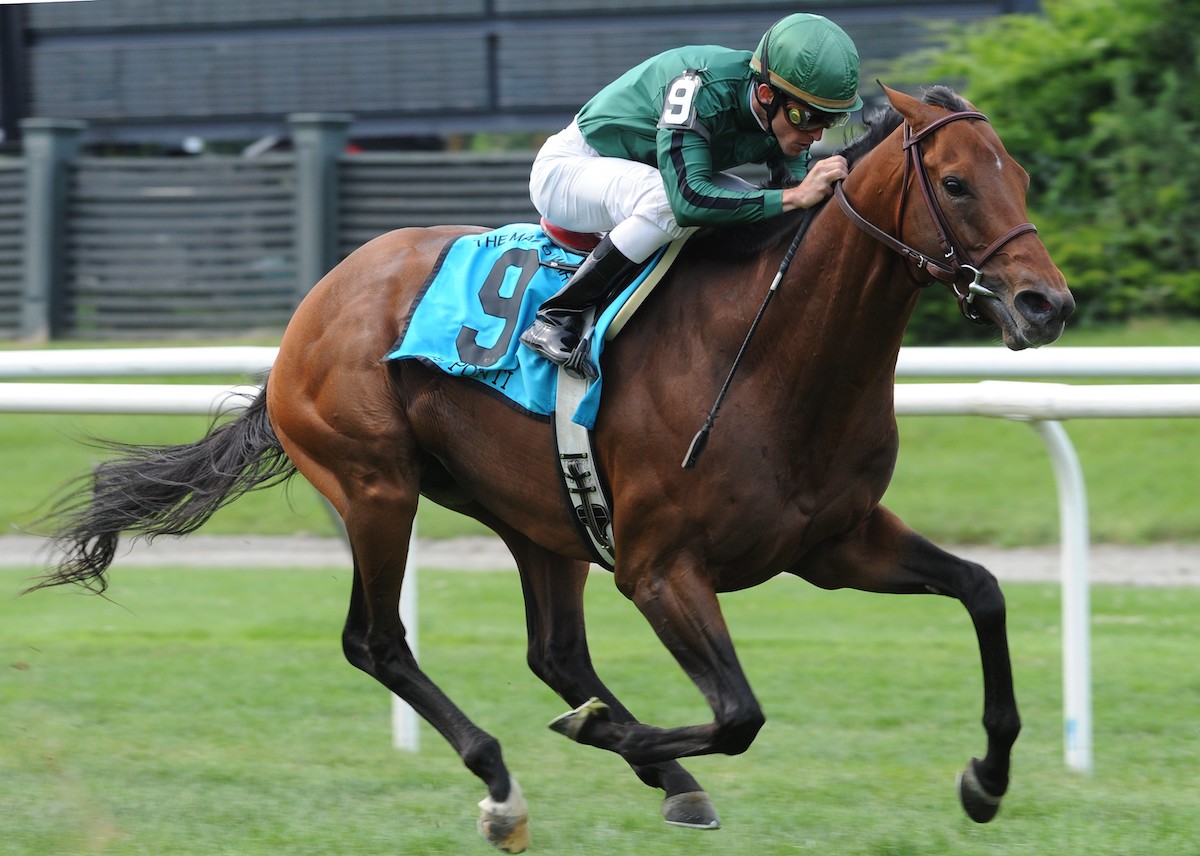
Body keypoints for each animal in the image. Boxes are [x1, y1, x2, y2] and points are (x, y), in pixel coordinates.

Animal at [32, 85, 1075, 849]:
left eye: (1021, 176)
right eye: (956, 184)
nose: (1046, 305)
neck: (772, 354)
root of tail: (311, 309)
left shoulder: (835, 541)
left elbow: (983, 591)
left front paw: (987, 780)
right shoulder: (661, 568)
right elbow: (739, 712)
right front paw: (608, 732)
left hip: (543, 514)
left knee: (554, 652)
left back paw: (662, 775)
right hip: (376, 487)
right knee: (378, 642)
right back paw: (505, 784)